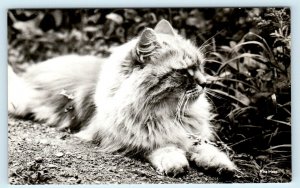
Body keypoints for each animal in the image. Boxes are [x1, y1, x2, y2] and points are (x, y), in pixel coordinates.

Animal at [7, 19, 237, 177]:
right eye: (184, 72)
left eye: (200, 67)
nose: (206, 82)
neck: (166, 113)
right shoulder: (125, 138)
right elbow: (159, 146)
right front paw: (174, 160)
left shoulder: (191, 133)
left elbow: (205, 148)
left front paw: (221, 164)